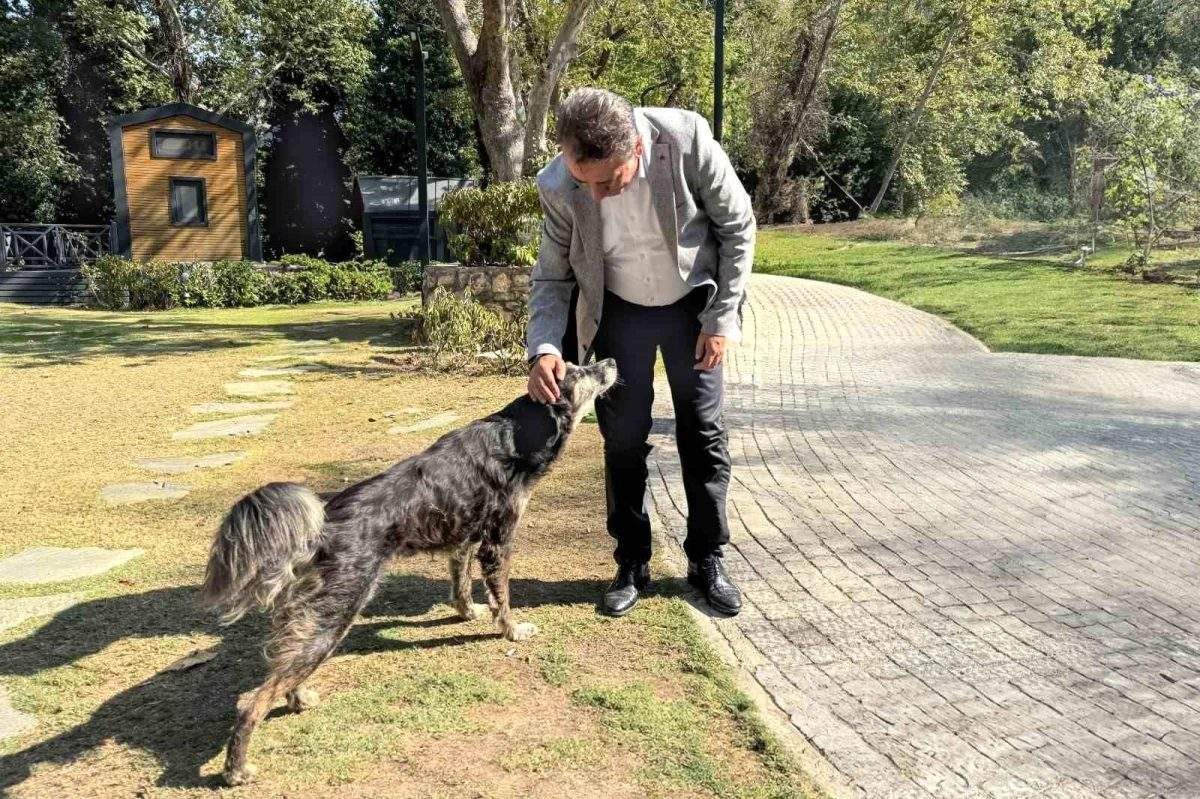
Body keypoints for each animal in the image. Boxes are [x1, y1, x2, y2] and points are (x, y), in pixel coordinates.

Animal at [202, 358, 618, 785]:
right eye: (579, 372)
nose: (610, 362)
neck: (515, 434)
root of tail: (321, 525)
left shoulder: (466, 538)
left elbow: (460, 583)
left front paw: (467, 612)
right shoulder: (497, 542)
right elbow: (502, 596)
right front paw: (512, 630)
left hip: (312, 622)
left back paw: (298, 698)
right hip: (334, 615)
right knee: (253, 703)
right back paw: (236, 769)